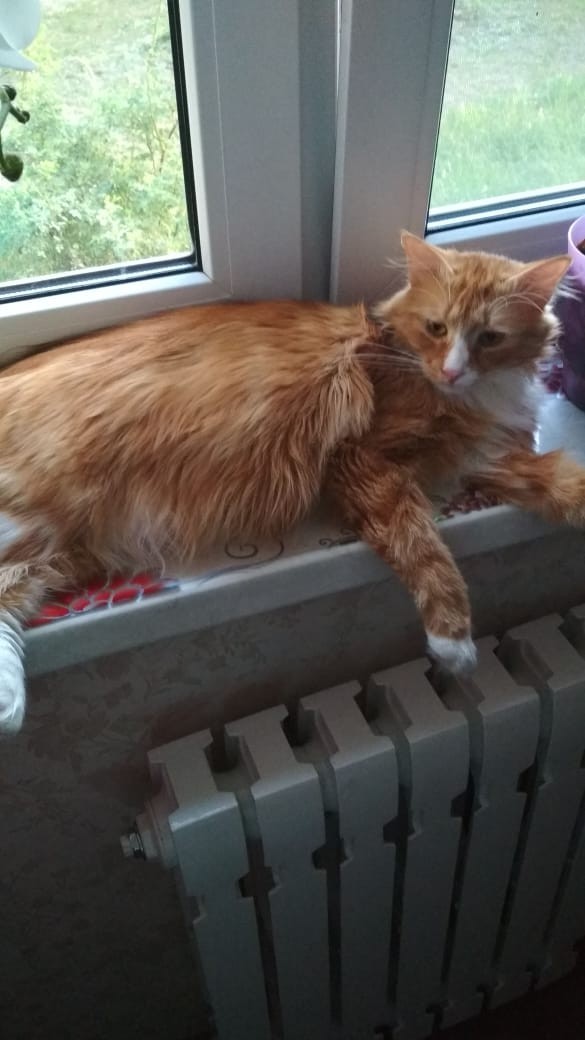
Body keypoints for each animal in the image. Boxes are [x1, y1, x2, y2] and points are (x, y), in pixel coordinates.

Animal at [0, 230, 578, 734]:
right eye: (437, 328)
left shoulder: (483, 457)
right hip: (37, 516)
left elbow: (567, 486)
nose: (454, 372)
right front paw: (452, 640)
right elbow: (420, 544)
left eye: (490, 339)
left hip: (53, 550)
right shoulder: (361, 458)